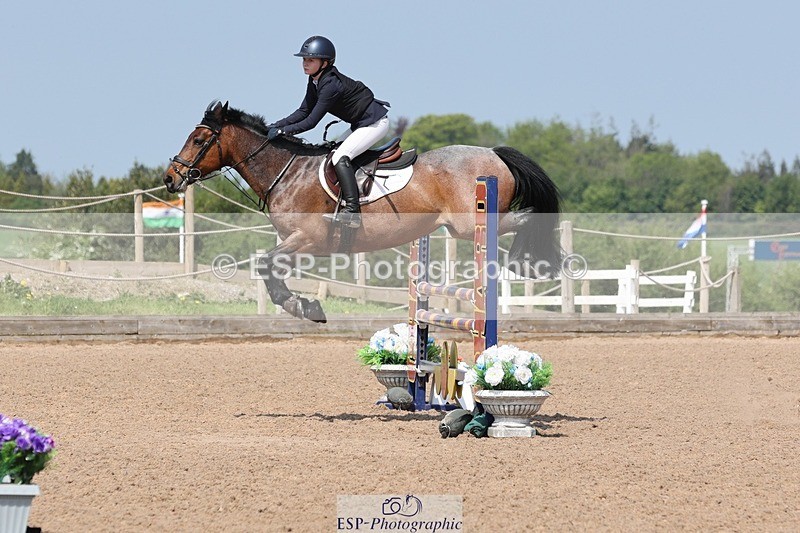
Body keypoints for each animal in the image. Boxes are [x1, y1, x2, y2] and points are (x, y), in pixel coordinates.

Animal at [164, 100, 561, 323]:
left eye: (199, 140)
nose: (171, 178)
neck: (288, 170)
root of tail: (494, 153)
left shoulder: (309, 239)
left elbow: (265, 264)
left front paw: (301, 307)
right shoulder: (296, 242)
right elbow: (269, 268)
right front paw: (303, 306)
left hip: (467, 224)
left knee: (525, 218)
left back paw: (524, 262)